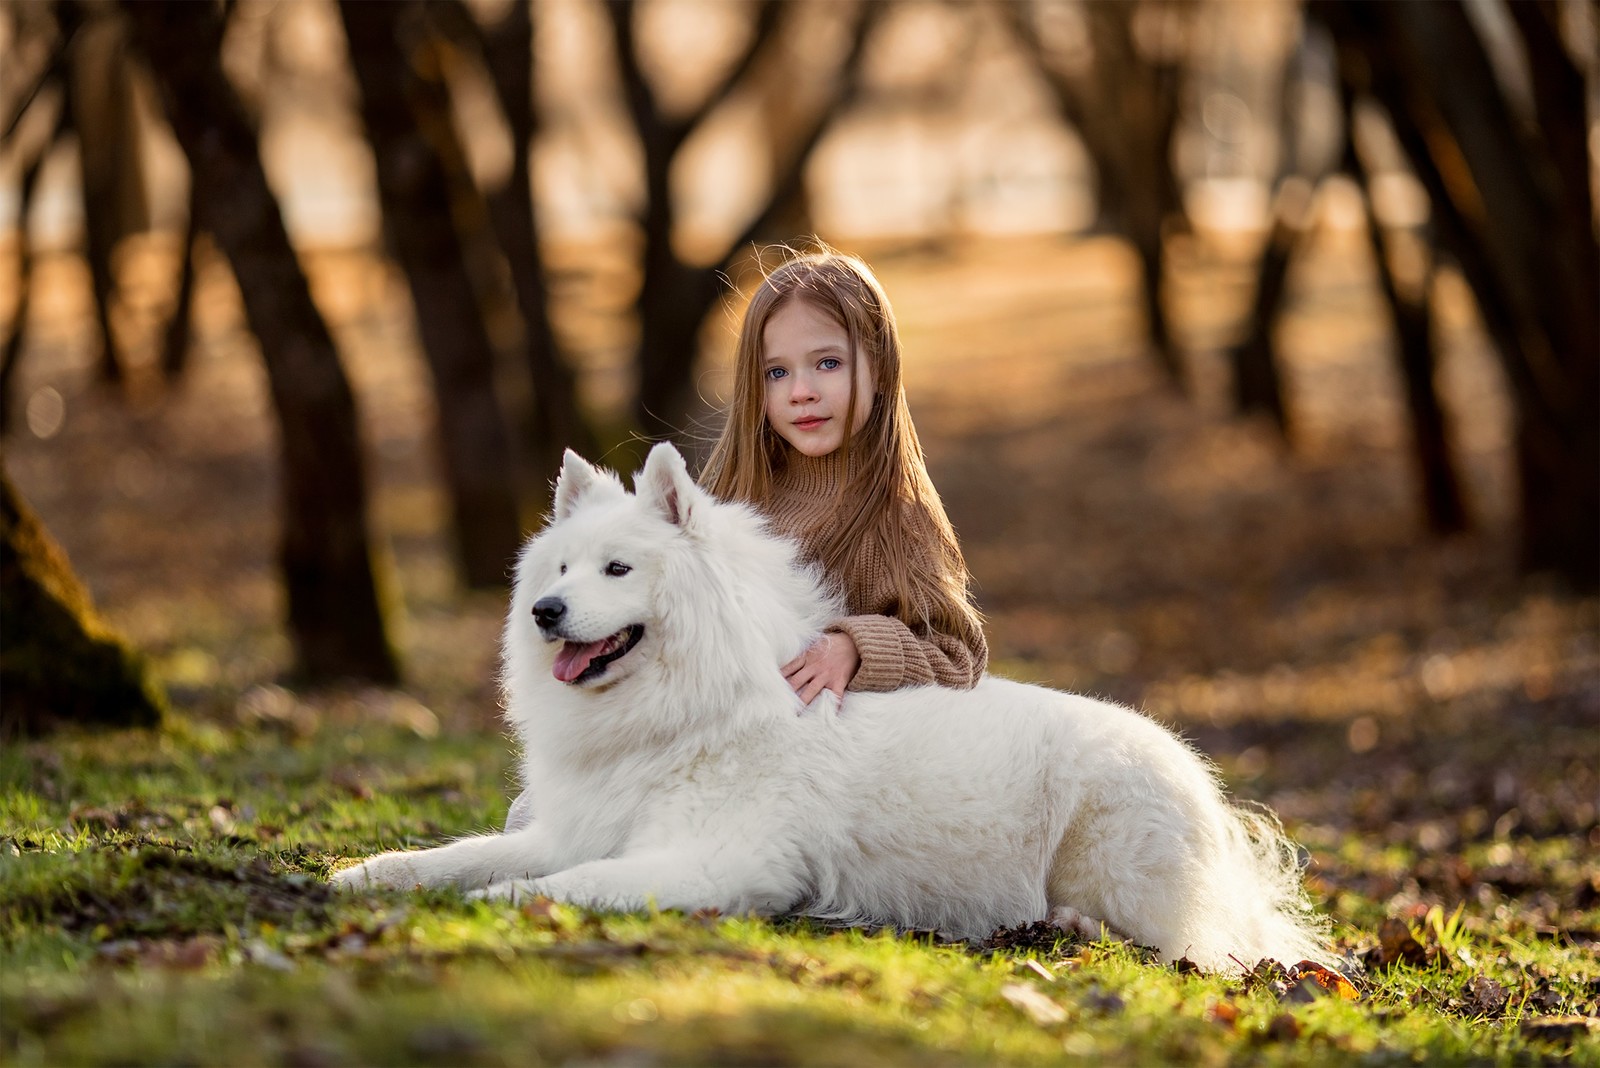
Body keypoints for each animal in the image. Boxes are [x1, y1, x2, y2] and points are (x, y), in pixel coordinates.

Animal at [331, 447, 1331, 972]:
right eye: (561, 569)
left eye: (617, 569)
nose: (544, 613)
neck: (679, 718)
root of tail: (1209, 792)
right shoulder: (571, 828)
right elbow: (455, 855)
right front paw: (363, 875)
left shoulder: (723, 859)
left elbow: (567, 885)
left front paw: (497, 907)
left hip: (1117, 854)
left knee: (1198, 949)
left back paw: (1077, 928)